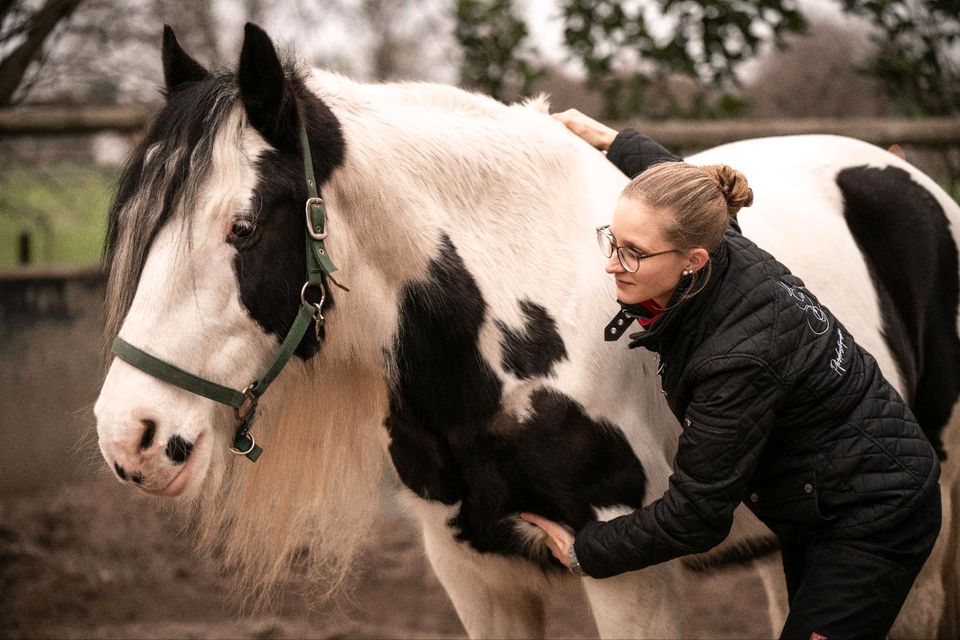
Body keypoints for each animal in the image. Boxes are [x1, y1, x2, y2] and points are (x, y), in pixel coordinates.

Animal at [95, 22, 960, 636]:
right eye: (139, 223)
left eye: (241, 229)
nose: (129, 437)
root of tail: (907, 177)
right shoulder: (473, 575)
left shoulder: (631, 574)